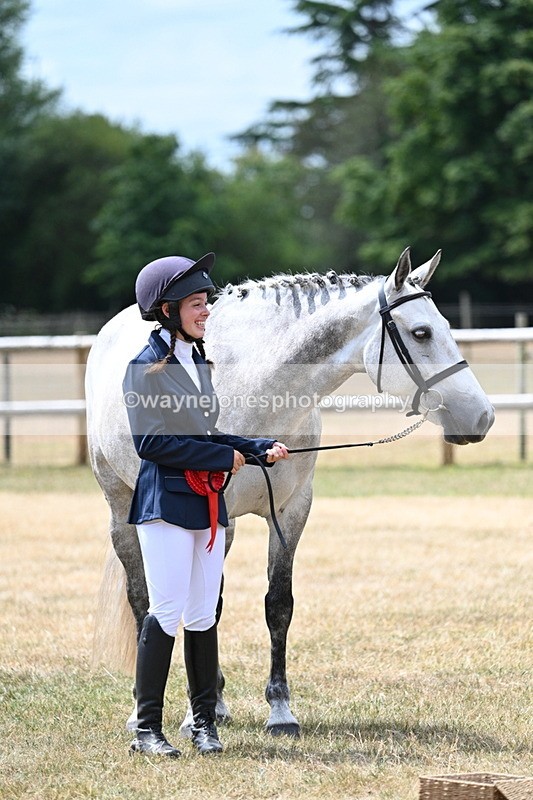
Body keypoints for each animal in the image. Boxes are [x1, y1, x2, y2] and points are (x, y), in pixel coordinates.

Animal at [86, 247, 494, 737]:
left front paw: (279, 711)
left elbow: (277, 606)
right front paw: (194, 714)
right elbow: (200, 606)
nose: (482, 417)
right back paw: (143, 710)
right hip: (121, 508)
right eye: (421, 332)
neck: (262, 388)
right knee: (143, 598)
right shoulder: (213, 513)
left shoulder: (293, 511)